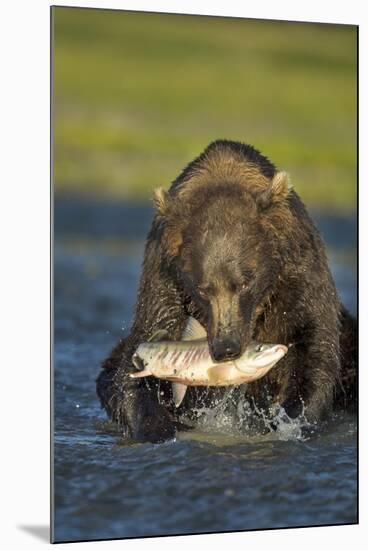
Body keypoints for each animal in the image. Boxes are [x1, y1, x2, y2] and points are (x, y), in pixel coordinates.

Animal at [95, 141, 356, 444]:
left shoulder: (297, 279)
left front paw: (289, 420)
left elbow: (313, 351)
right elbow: (136, 367)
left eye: (244, 282)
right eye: (202, 288)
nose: (226, 347)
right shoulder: (164, 279)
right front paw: (159, 427)